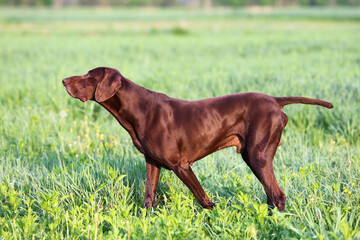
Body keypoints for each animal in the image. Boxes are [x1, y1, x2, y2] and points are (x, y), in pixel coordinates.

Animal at [62, 66, 334, 211]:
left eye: (90, 76)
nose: (63, 80)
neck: (138, 109)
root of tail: (275, 100)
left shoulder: (181, 165)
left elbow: (204, 200)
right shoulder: (152, 164)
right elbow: (149, 198)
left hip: (257, 156)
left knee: (277, 196)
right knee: (271, 195)